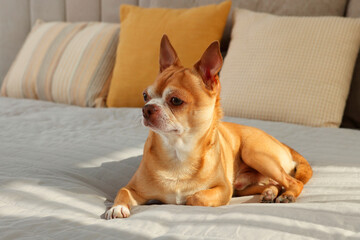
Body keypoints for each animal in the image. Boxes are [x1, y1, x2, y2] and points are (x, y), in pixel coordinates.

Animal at [105, 35, 312, 219]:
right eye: (145, 96)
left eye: (175, 101)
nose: (147, 108)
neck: (178, 153)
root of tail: (285, 145)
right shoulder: (133, 188)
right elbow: (122, 191)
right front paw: (116, 208)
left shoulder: (224, 189)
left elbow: (195, 197)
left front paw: (186, 198)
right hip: (244, 185)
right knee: (275, 183)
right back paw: (270, 192)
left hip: (255, 154)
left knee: (293, 182)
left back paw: (287, 195)